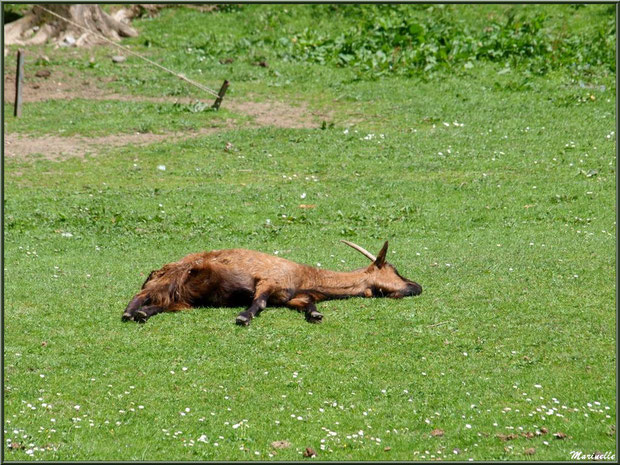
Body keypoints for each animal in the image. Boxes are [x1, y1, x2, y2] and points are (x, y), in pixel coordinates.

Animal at [121, 241, 422, 324]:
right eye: (396, 270)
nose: (418, 287)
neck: (305, 275)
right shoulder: (268, 280)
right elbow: (260, 302)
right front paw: (244, 316)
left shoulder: (289, 296)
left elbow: (306, 302)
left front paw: (315, 314)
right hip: (174, 277)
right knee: (142, 294)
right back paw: (129, 312)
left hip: (183, 298)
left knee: (160, 305)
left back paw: (142, 315)